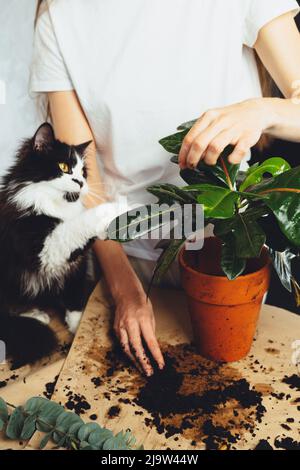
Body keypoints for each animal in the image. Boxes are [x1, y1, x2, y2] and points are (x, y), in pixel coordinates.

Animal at [0, 123, 119, 370]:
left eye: (83, 172)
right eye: (64, 167)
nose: (81, 183)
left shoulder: (77, 265)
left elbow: (75, 298)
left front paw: (78, 327)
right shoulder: (44, 248)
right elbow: (82, 222)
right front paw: (118, 206)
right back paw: (36, 315)